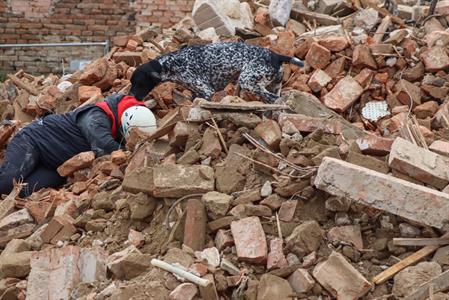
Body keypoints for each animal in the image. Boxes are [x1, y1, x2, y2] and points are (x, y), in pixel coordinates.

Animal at [130, 42, 304, 103]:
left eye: (138, 83)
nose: (130, 95)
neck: (170, 63)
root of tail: (276, 55)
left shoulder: (207, 91)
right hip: (273, 84)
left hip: (247, 81)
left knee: (272, 98)